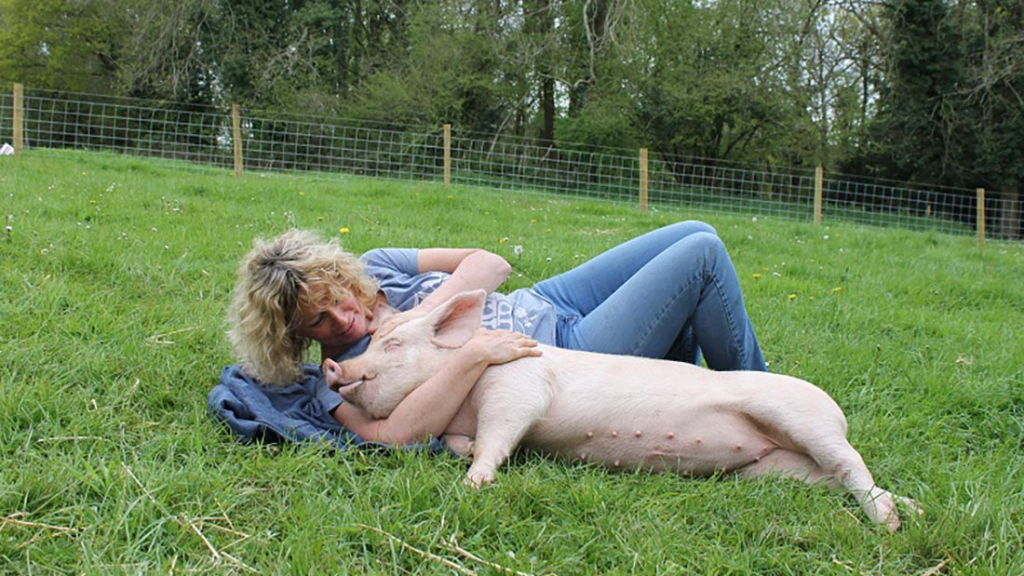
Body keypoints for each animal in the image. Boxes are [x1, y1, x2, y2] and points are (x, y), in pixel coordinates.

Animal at [325, 290, 919, 531]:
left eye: (392, 344)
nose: (333, 367)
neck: (463, 395)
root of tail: (837, 412)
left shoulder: (518, 386)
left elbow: (502, 433)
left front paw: (474, 483)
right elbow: (457, 440)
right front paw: (465, 454)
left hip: (804, 419)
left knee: (852, 465)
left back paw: (889, 524)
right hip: (777, 469)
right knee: (838, 478)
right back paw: (911, 509)